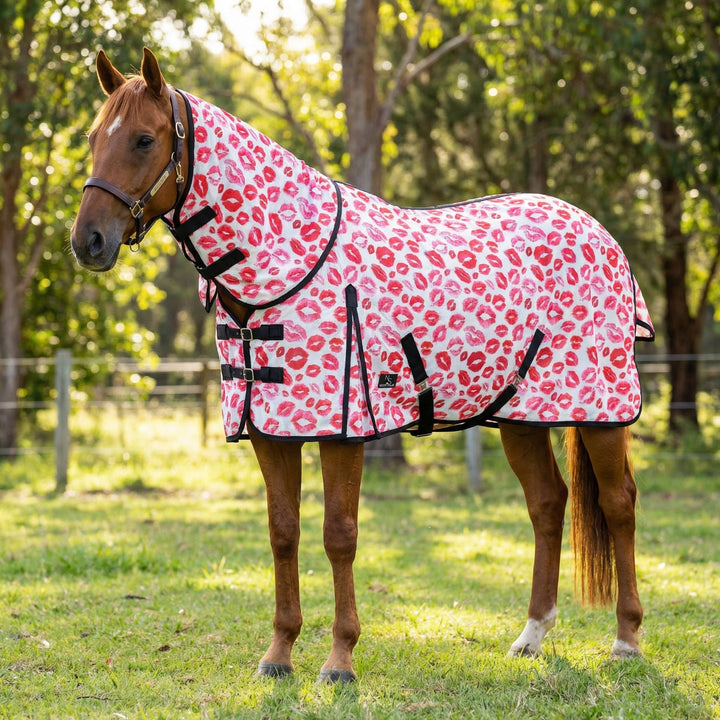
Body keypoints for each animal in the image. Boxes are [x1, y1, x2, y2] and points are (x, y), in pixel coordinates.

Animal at [71, 48, 655, 683]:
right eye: (94, 138)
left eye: (144, 139)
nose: (88, 242)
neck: (283, 267)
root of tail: (600, 233)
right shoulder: (270, 431)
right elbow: (283, 533)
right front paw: (279, 654)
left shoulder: (343, 431)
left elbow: (339, 536)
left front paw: (340, 660)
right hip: (519, 415)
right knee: (548, 504)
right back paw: (531, 636)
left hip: (600, 412)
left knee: (619, 504)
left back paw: (626, 640)